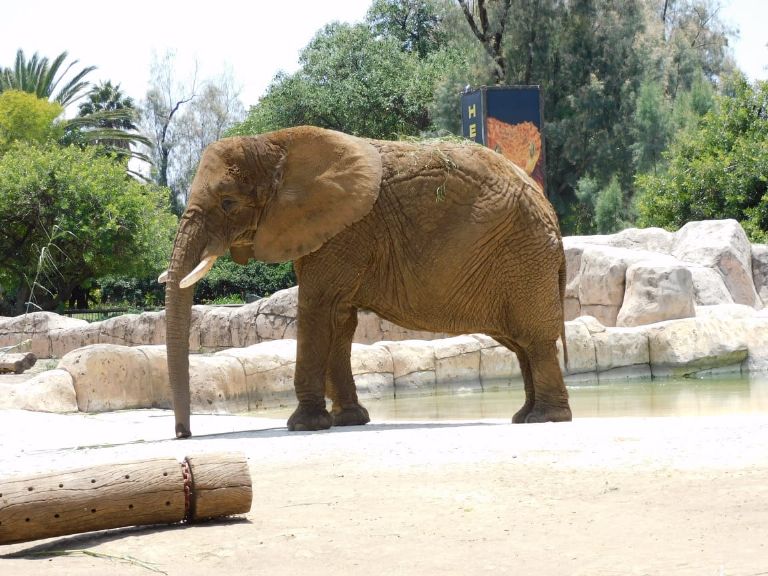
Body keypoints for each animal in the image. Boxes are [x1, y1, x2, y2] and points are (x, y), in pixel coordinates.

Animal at [159, 125, 571, 438]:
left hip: (524, 258)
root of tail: (551, 214)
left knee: (534, 340)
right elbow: (340, 318)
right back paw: (525, 416)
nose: (184, 434)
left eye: (228, 203)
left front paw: (304, 426)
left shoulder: (346, 229)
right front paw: (349, 420)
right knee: (520, 344)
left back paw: (545, 418)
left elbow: (316, 307)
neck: (274, 144)